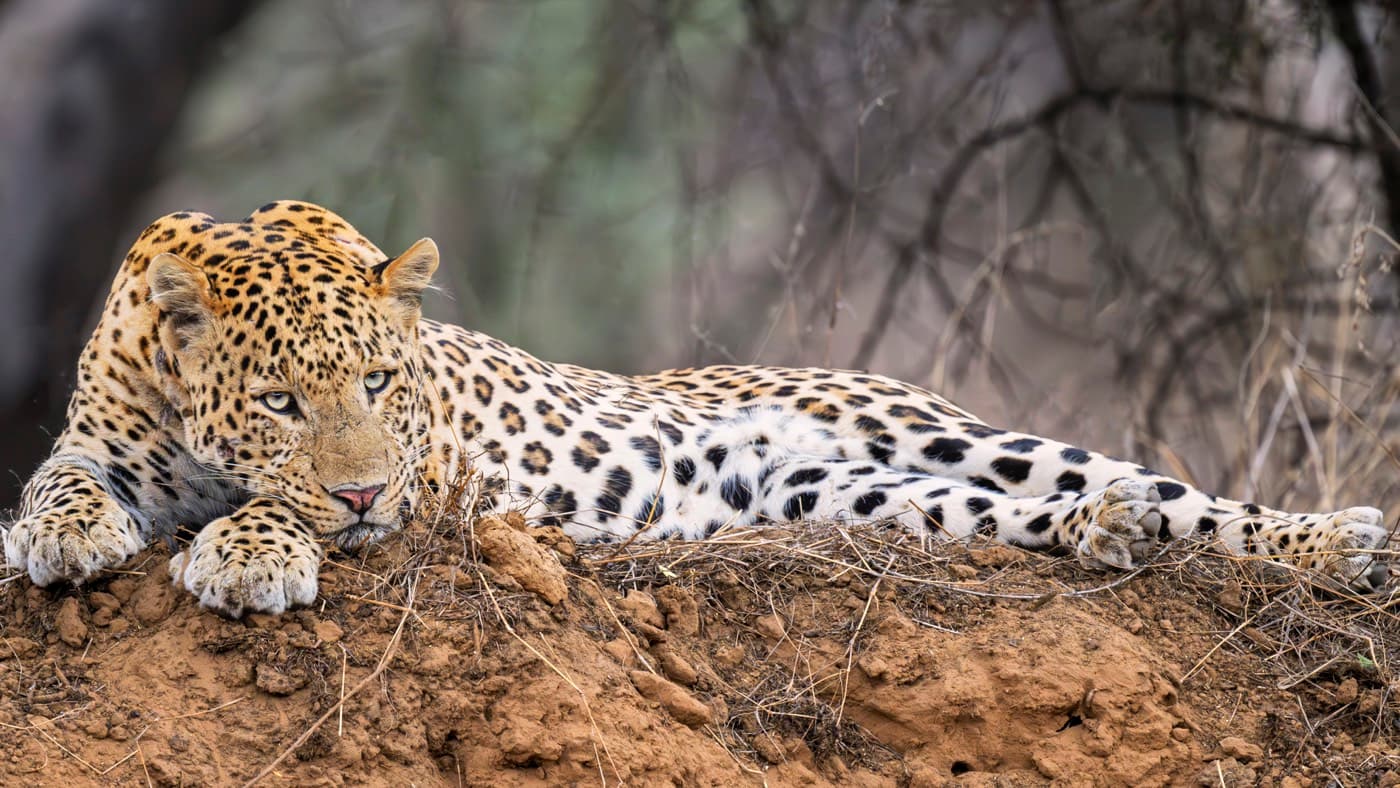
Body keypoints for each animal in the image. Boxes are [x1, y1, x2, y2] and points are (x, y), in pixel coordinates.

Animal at [3, 201, 1392, 617]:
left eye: (385, 387)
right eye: (281, 398)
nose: (359, 486)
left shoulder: (427, 483)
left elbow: (293, 514)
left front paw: (252, 548)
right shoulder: (98, 432)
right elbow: (54, 477)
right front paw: (66, 536)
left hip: (936, 427)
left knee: (1171, 488)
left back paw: (1334, 540)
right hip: (838, 490)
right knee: (1057, 509)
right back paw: (1107, 529)